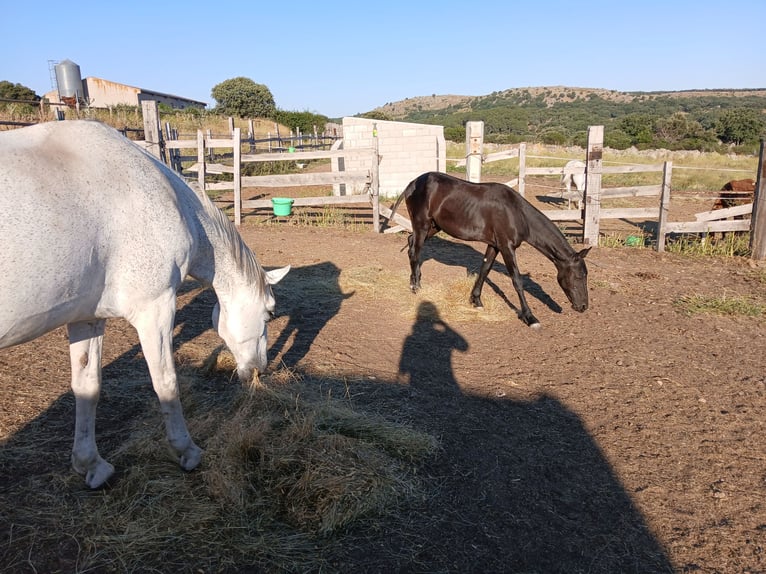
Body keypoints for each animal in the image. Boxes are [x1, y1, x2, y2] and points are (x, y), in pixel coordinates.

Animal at [0, 121, 292, 490]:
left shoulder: (87, 318)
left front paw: (91, 464)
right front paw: (187, 451)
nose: (260, 368)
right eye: (269, 312)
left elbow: (87, 386)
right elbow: (166, 382)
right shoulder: (155, 308)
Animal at [390, 172, 592, 328]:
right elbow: (517, 280)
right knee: (415, 251)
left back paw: (413, 282)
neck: (516, 213)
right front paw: (530, 317)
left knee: (411, 245)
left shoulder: (494, 245)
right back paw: (416, 287)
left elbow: (484, 270)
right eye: (579, 276)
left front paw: (476, 301)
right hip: (422, 224)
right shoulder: (506, 246)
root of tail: (413, 183)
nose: (583, 306)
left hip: (433, 226)